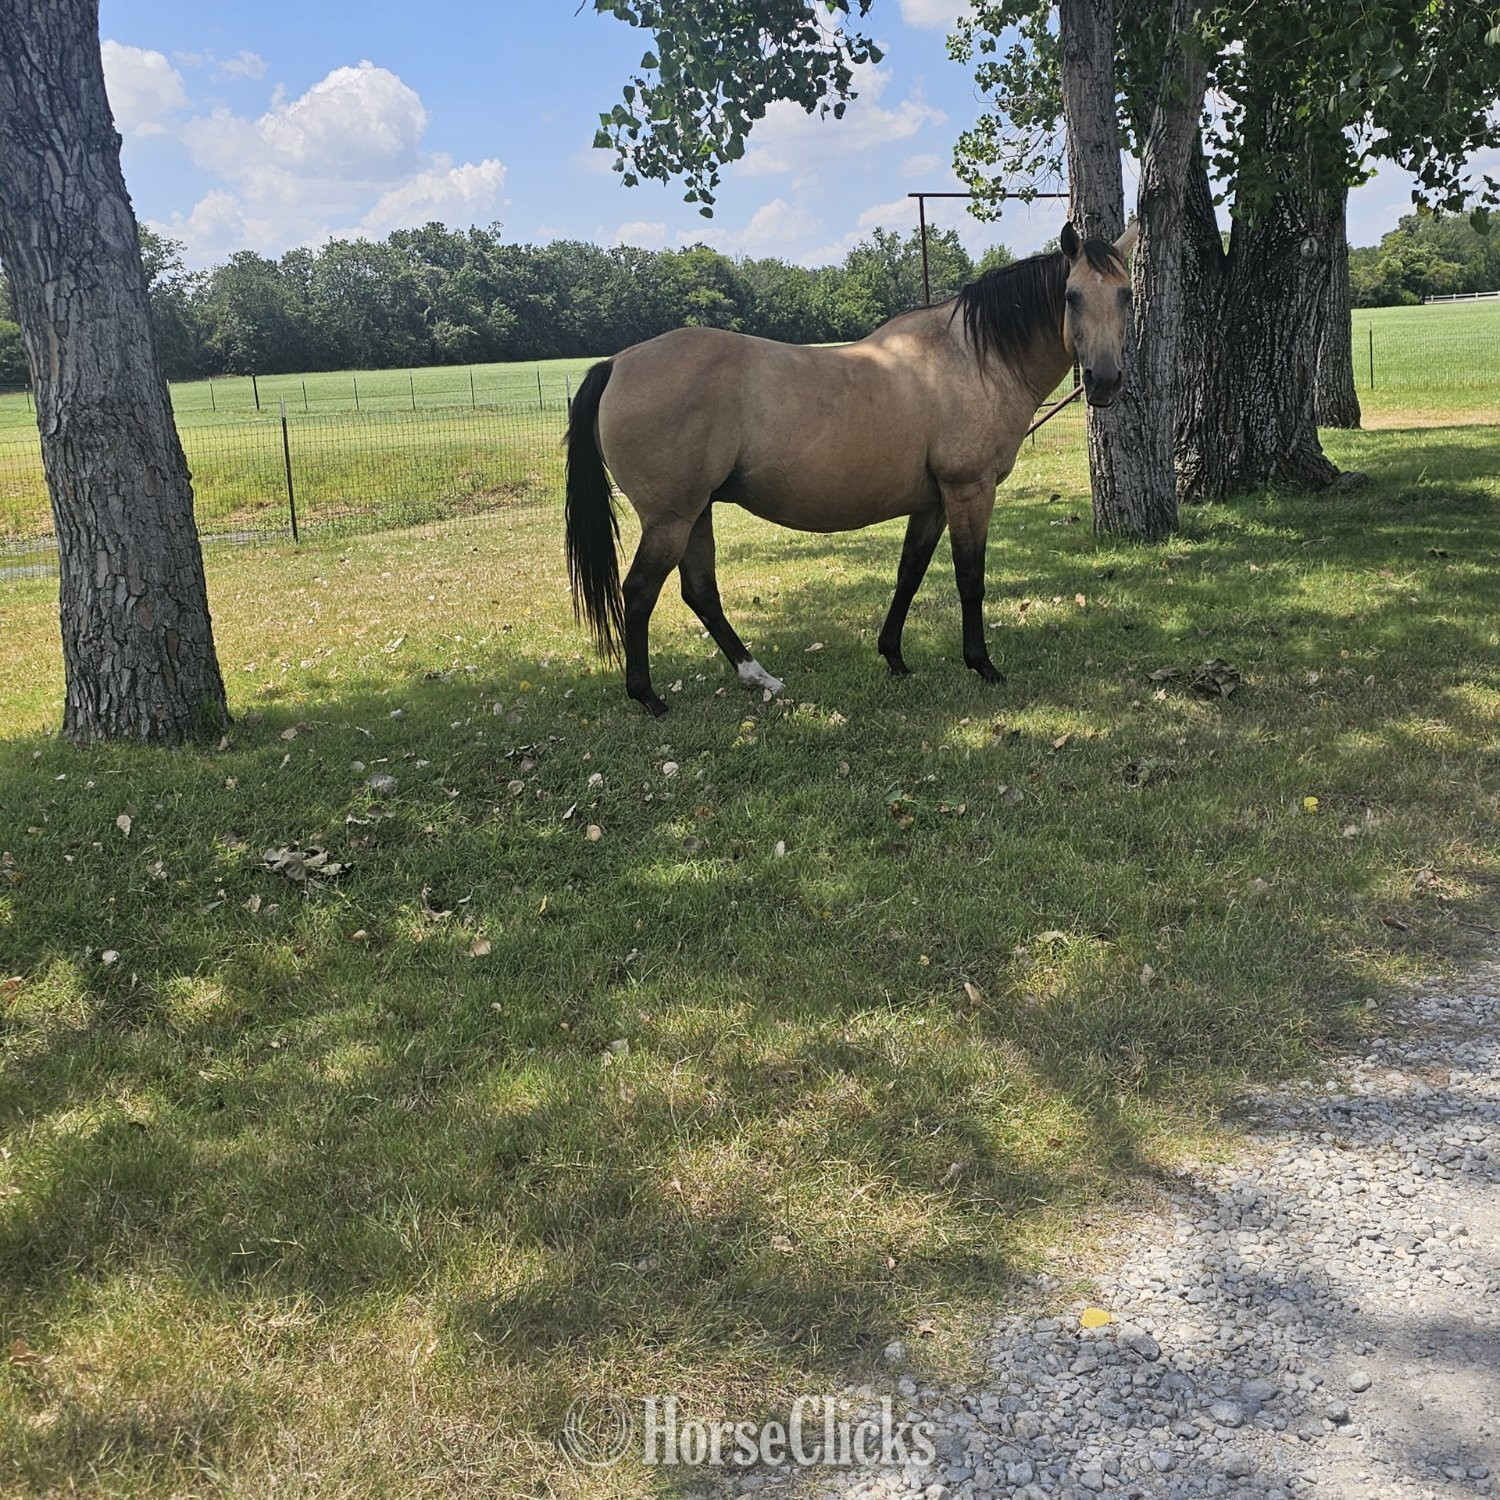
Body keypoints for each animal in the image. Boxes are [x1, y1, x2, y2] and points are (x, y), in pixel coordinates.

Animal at [564, 221, 1136, 716]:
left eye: (1126, 295)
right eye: (1071, 296)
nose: (1104, 381)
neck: (973, 358)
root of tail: (616, 363)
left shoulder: (932, 503)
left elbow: (909, 573)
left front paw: (895, 656)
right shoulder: (969, 491)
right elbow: (970, 578)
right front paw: (982, 665)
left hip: (695, 513)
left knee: (700, 591)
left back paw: (757, 676)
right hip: (670, 519)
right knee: (640, 593)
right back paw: (648, 696)